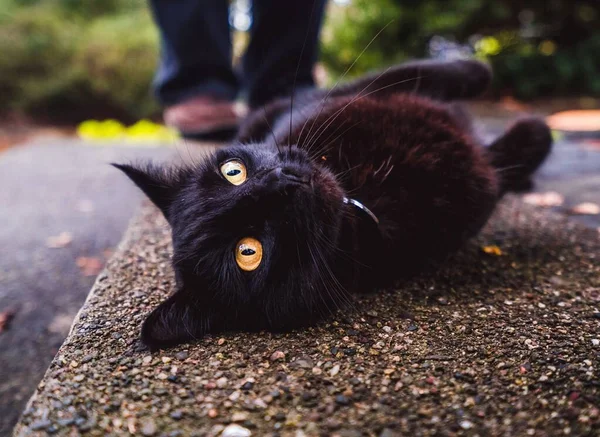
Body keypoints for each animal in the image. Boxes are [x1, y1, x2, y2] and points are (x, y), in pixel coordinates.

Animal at [116, 59, 552, 350]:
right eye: (247, 252)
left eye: (233, 172)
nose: (283, 182)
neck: (355, 190)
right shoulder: (467, 202)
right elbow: (525, 145)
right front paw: (528, 133)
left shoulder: (353, 93)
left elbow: (433, 72)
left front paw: (477, 69)